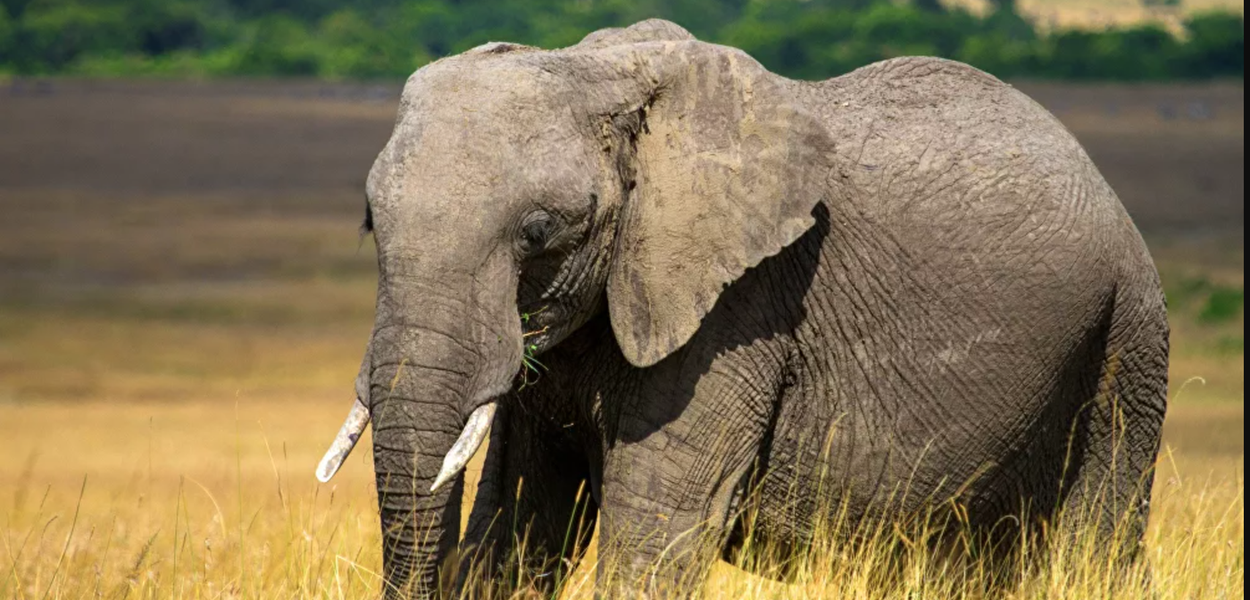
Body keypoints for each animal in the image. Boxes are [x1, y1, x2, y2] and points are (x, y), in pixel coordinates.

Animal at [314, 19, 1169, 599]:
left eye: (539, 232)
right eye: (369, 222)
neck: (603, 70)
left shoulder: (741, 311)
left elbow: (654, 533)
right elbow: (519, 524)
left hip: (1129, 339)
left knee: (1096, 546)